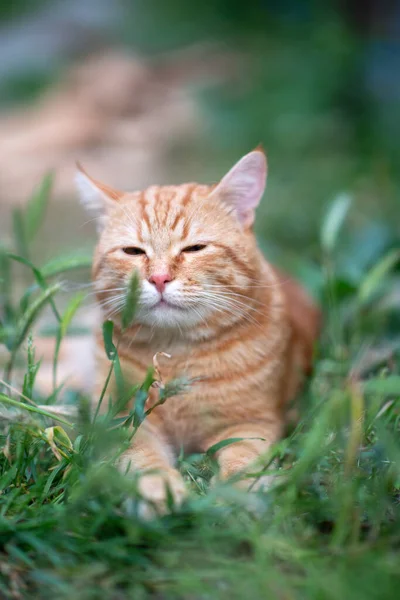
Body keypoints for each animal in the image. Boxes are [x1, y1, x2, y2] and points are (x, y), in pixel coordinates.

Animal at [75, 151, 318, 516]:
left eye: (195, 248)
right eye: (133, 252)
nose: (159, 278)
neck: (176, 353)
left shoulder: (252, 423)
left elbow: (243, 459)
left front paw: (238, 492)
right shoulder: (123, 422)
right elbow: (140, 458)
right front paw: (158, 491)